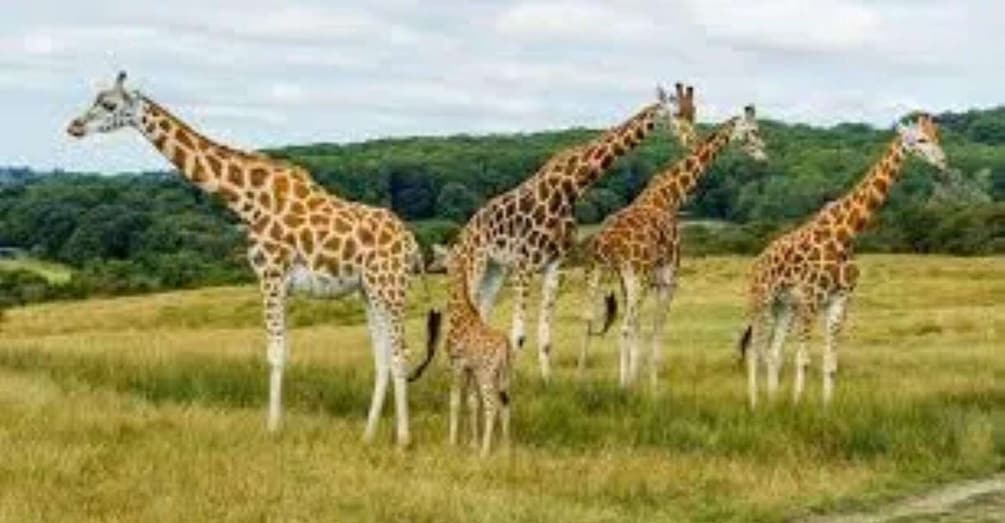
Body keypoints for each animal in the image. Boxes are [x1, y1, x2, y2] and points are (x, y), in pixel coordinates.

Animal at [66, 71, 439, 446]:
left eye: (108, 104)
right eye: (95, 99)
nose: (74, 126)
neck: (248, 201)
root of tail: (411, 244)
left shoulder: (270, 274)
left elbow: (274, 353)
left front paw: (272, 430)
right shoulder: (280, 281)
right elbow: (281, 351)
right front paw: (277, 425)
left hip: (390, 287)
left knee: (400, 353)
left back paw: (402, 439)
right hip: (369, 291)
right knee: (382, 356)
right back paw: (368, 435)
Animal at [411, 244, 513, 457]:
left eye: (438, 255)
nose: (429, 266)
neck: (461, 315)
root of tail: (506, 346)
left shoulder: (457, 364)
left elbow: (455, 401)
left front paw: (452, 443)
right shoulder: (470, 369)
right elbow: (472, 402)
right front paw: (471, 443)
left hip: (487, 373)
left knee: (492, 405)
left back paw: (485, 452)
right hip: (504, 375)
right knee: (505, 404)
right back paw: (505, 448)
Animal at [450, 83, 697, 382]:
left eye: (693, 112)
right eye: (676, 113)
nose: (693, 141)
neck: (569, 190)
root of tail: (465, 232)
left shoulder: (555, 265)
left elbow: (546, 337)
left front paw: (547, 382)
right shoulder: (525, 265)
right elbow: (518, 335)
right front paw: (513, 384)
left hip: (496, 269)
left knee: (482, 312)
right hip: (475, 264)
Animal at [579, 104, 768, 388]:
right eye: (753, 130)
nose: (764, 155)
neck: (670, 197)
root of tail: (607, 241)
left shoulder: (638, 280)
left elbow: (641, 330)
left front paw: (637, 378)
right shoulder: (668, 278)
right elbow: (657, 328)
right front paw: (652, 384)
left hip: (598, 271)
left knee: (590, 321)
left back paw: (582, 379)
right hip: (635, 275)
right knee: (624, 326)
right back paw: (623, 386)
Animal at [738, 113, 948, 409]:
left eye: (937, 136)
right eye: (920, 139)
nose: (943, 161)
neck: (847, 235)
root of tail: (756, 262)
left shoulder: (840, 300)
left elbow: (830, 364)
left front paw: (824, 408)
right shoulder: (811, 299)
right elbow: (803, 360)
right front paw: (798, 407)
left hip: (785, 307)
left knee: (773, 351)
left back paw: (772, 401)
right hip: (761, 300)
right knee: (755, 349)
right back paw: (756, 404)